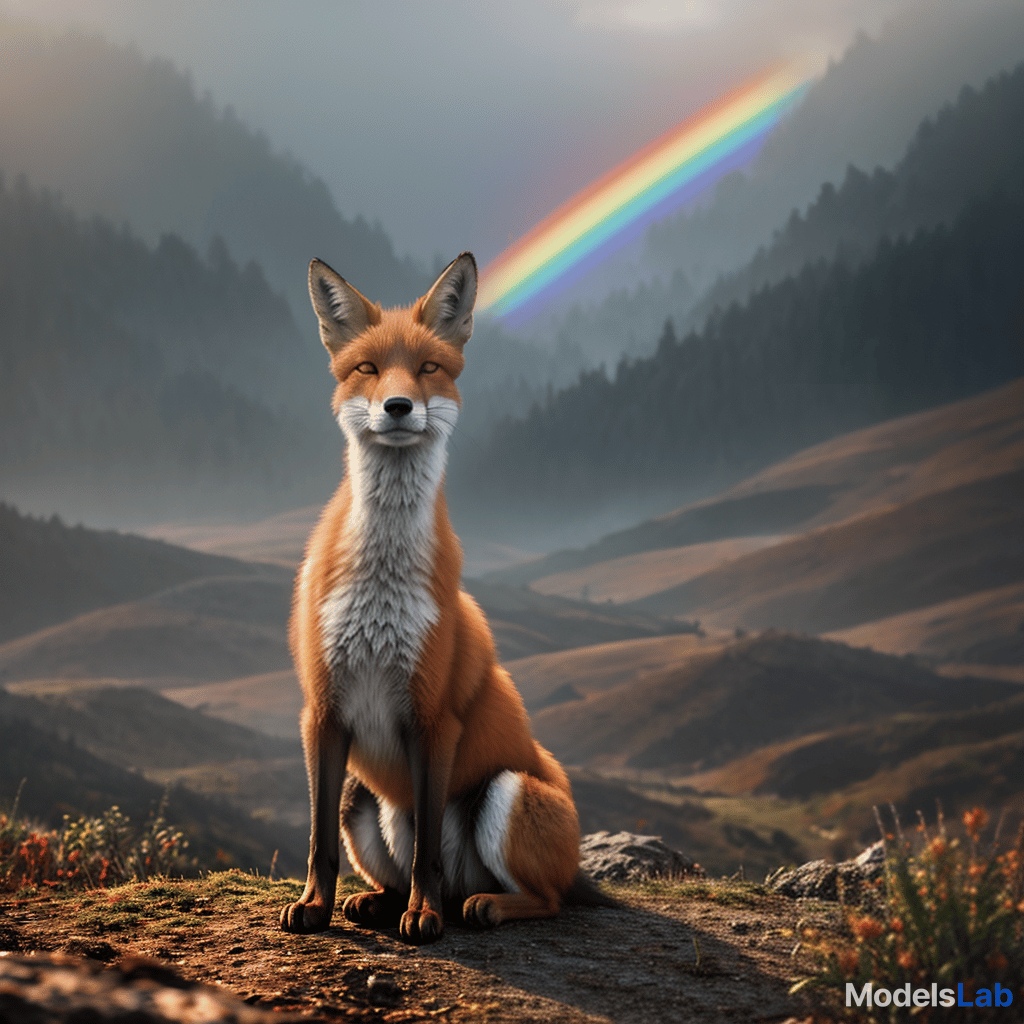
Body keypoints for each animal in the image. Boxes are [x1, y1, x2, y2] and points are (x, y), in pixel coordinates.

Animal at [280, 249, 598, 942]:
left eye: (429, 368)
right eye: (368, 369)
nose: (398, 406)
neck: (381, 582)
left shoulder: (433, 717)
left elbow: (426, 846)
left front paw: (422, 921)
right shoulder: (322, 710)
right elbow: (316, 842)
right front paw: (313, 907)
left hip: (507, 791)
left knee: (540, 898)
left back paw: (476, 907)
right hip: (360, 796)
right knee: (393, 872)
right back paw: (376, 902)